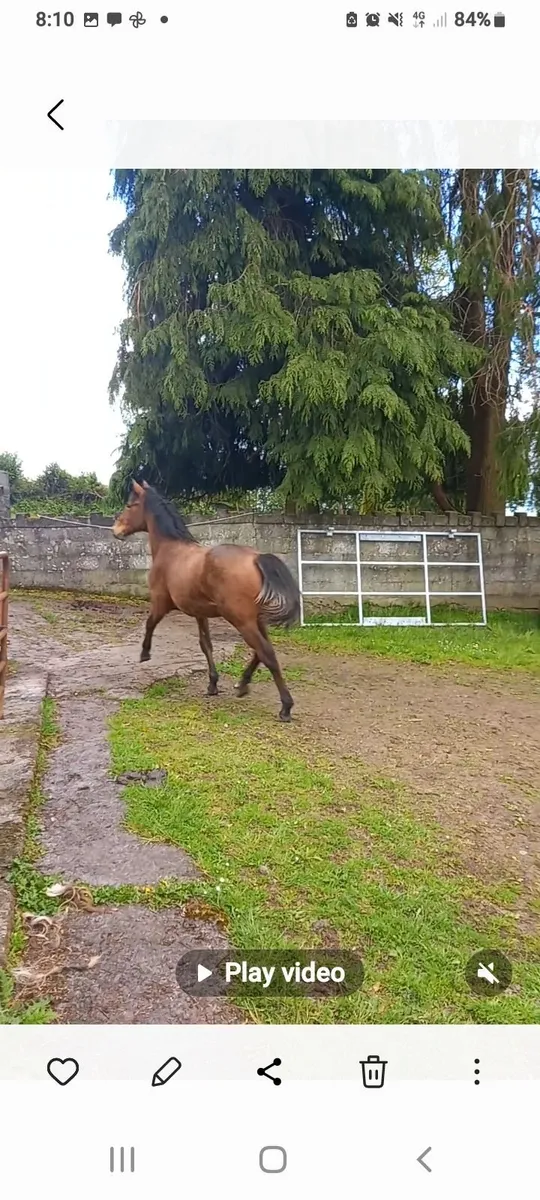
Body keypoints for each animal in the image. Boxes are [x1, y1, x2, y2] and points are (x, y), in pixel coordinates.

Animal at [112, 481, 301, 721]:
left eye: (130, 505)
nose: (115, 530)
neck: (170, 549)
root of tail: (256, 557)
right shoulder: (200, 613)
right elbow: (206, 645)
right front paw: (212, 684)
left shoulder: (161, 603)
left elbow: (149, 623)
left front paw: (144, 654)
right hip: (256, 620)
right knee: (262, 651)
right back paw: (242, 685)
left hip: (242, 621)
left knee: (266, 653)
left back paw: (285, 707)